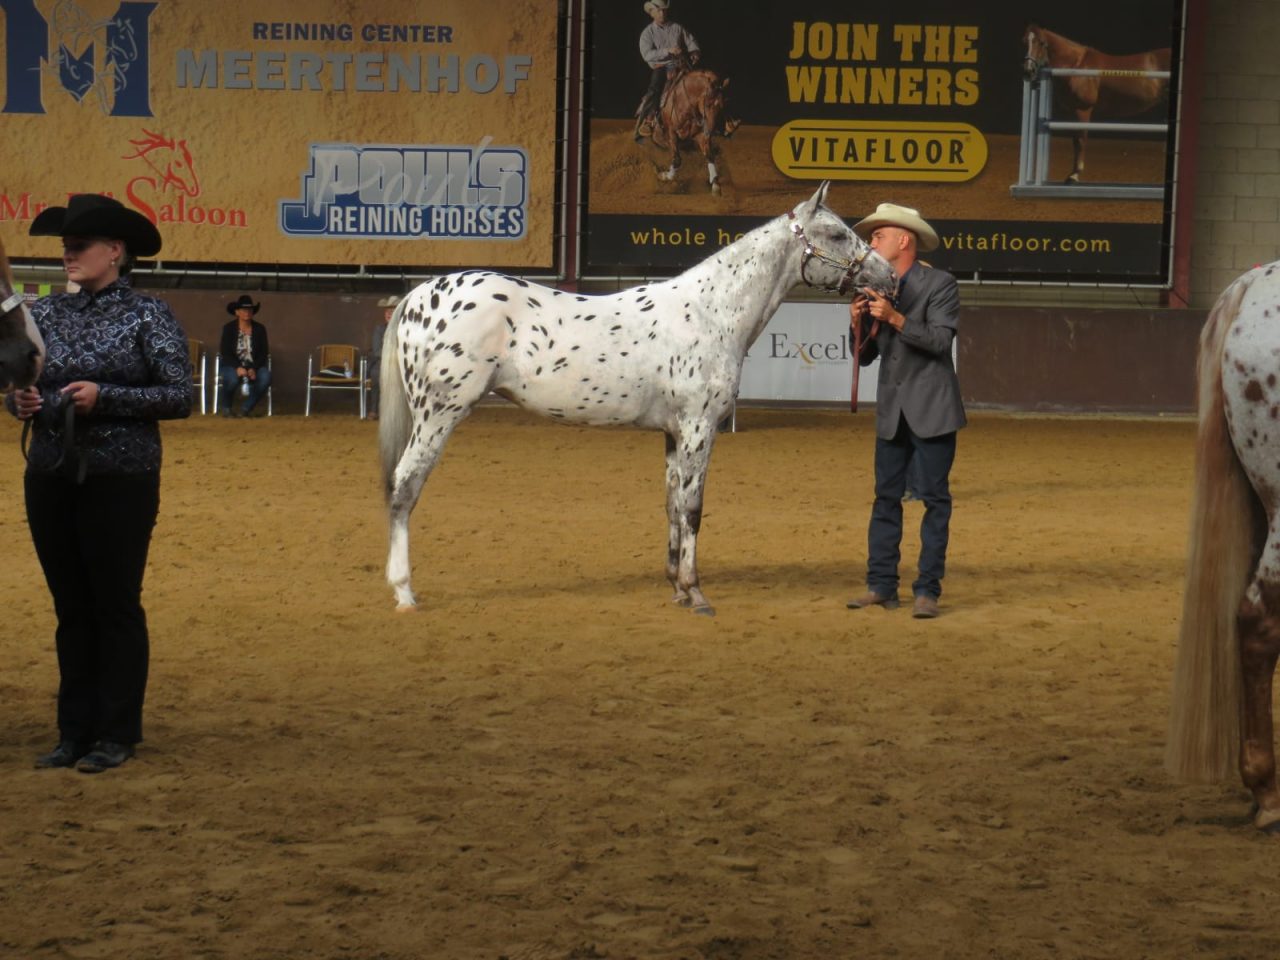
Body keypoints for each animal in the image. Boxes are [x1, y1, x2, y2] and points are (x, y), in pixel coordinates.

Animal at [379, 182, 894, 615]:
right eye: (835, 233)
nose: (888, 275)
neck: (711, 311)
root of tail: (417, 296)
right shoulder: (698, 428)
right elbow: (693, 509)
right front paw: (696, 593)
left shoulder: (673, 434)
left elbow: (672, 505)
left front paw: (676, 587)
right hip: (439, 413)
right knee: (404, 486)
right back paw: (404, 592)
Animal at [641, 58, 740, 195]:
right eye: (708, 104)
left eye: (723, 105)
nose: (711, 130)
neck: (686, 103)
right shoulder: (671, 133)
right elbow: (677, 160)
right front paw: (664, 176)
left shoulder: (700, 135)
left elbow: (709, 155)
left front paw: (715, 184)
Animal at [1021, 24, 1170, 184]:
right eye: (1024, 42)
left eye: (1042, 43)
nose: (1028, 71)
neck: (1076, 66)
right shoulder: (1072, 112)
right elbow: (1075, 140)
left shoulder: (1083, 109)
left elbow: (1080, 140)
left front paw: (1074, 175)